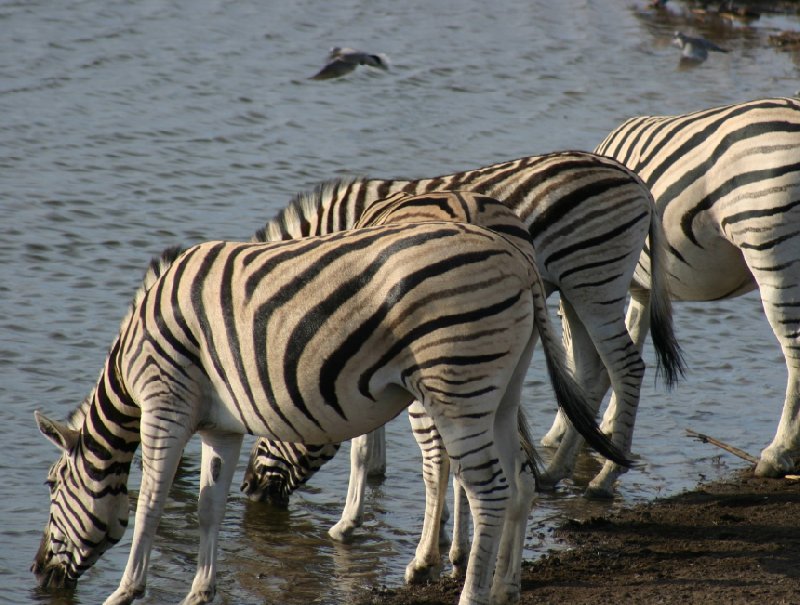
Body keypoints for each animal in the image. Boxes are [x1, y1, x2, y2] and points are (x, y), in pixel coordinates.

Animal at [34, 221, 628, 604]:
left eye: (51, 484)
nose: (38, 574)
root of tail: (519, 260)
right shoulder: (221, 428)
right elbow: (208, 508)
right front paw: (200, 591)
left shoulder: (166, 403)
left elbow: (151, 505)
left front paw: (123, 592)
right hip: (498, 392)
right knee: (520, 481)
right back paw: (506, 586)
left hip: (455, 389)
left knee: (490, 491)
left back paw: (474, 596)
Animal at [241, 149, 684, 498]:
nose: (249, 489)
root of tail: (636, 180)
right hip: (576, 290)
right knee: (590, 375)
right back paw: (556, 472)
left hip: (594, 281)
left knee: (626, 367)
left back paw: (606, 479)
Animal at [564, 96, 800, 478]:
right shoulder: (642, 289)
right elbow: (626, 349)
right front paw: (609, 425)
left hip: (769, 245)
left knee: (794, 348)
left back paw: (777, 453)